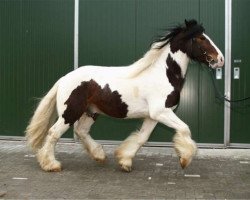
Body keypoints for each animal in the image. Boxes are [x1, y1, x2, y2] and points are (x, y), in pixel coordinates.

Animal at [25, 19, 225, 172]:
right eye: (200, 38)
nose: (220, 59)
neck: (163, 74)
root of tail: (64, 79)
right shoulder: (162, 112)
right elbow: (185, 129)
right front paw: (184, 159)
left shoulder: (153, 116)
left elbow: (142, 138)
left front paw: (124, 161)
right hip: (70, 113)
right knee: (53, 133)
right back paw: (51, 165)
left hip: (91, 112)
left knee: (81, 131)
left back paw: (99, 155)